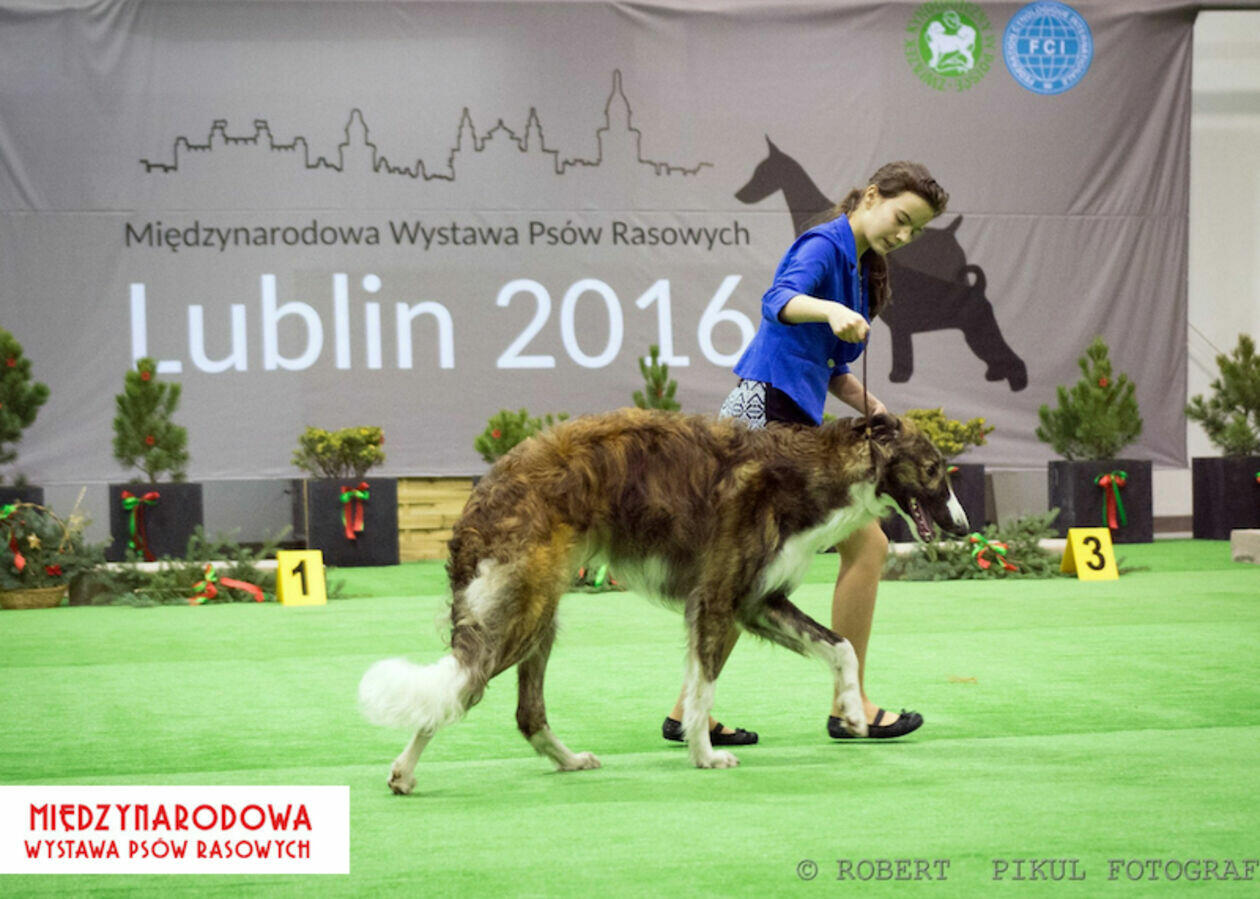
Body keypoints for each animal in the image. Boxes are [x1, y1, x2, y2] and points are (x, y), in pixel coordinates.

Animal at [359, 408, 969, 793]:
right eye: (933, 469)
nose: (962, 527)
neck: (804, 471)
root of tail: (485, 489)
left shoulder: (757, 601)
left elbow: (840, 646)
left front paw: (853, 713)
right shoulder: (719, 600)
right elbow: (702, 692)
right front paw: (707, 756)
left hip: (540, 617)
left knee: (525, 713)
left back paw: (570, 761)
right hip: (523, 613)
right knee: (461, 689)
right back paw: (403, 773)